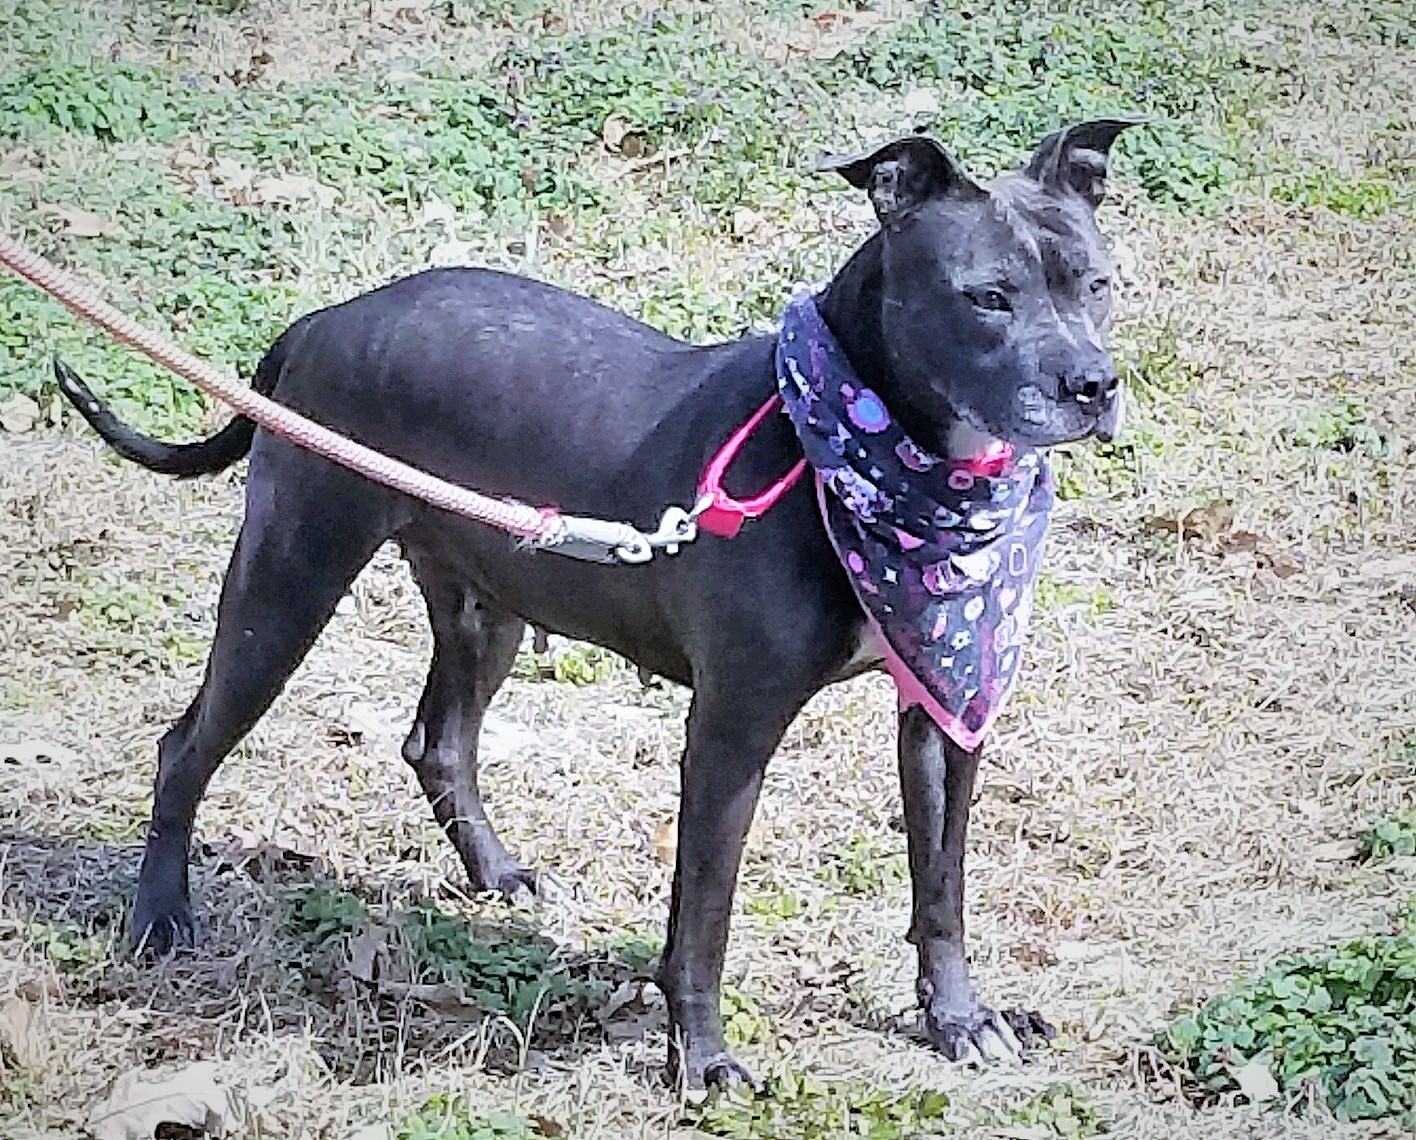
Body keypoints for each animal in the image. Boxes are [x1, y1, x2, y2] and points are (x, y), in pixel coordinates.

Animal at [55, 120, 1138, 1087]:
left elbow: (941, 886)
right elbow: (703, 917)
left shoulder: (946, 705)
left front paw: (960, 1020)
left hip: (486, 599)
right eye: (987, 298)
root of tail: (318, 323)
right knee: (186, 745)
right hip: (287, 583)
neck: (863, 455)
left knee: (438, 740)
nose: (1093, 384)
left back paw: (495, 875)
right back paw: (160, 919)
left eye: (1097, 283)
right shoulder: (731, 732)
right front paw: (702, 1062)